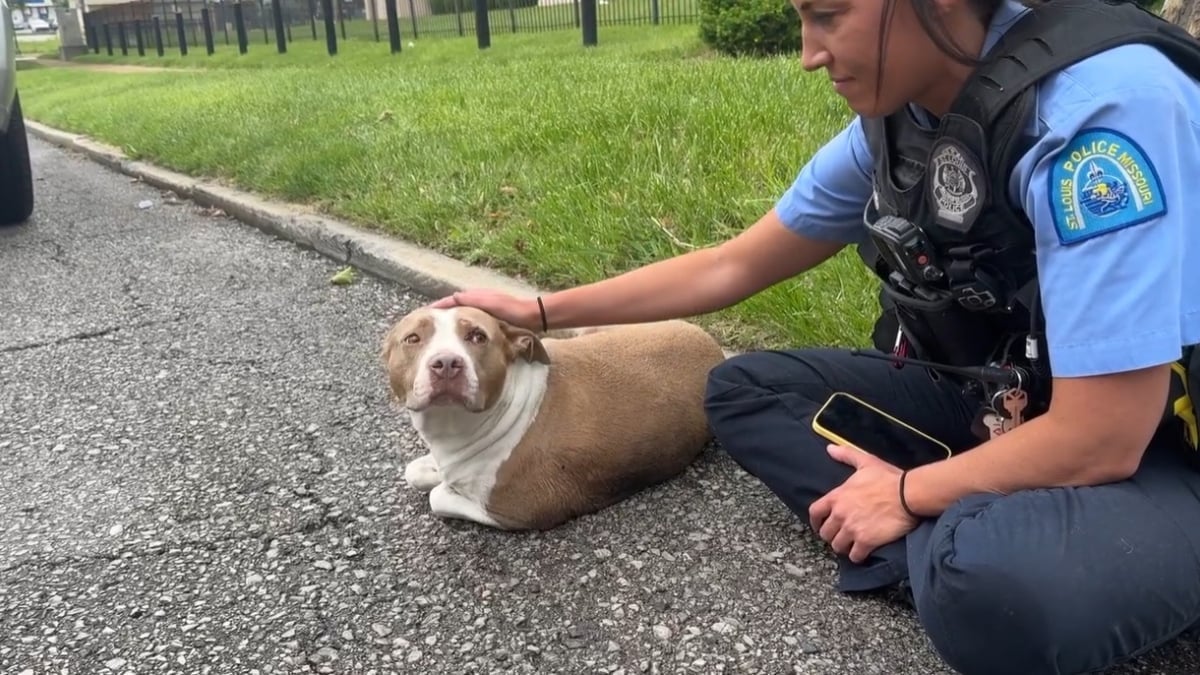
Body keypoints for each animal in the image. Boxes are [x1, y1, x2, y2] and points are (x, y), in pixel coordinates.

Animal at [379, 305, 724, 530]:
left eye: (478, 336)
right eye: (412, 338)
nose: (447, 363)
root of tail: (712, 345)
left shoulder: (518, 510)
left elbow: (438, 496)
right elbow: (415, 471)